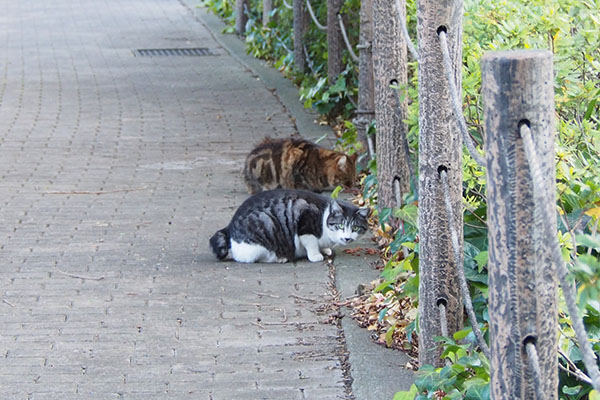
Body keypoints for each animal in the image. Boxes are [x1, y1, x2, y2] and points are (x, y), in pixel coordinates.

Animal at [211, 190, 370, 264]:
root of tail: (229, 227)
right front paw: (315, 255)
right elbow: (311, 242)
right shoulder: (305, 218)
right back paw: (280, 258)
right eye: (341, 225)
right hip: (264, 228)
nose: (347, 238)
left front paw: (325, 250)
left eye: (355, 228)